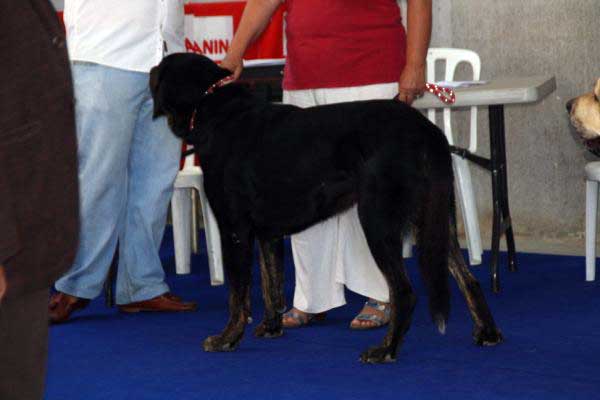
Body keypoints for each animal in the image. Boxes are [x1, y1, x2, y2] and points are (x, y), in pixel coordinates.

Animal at [150, 52, 502, 362]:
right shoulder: (267, 233)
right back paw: (487, 332)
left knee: (404, 291)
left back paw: (385, 350)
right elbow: (271, 284)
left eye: (160, 69)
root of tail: (427, 132)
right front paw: (271, 327)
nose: (150, 69)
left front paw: (227, 338)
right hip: (432, 219)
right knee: (468, 279)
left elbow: (238, 293)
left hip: (377, 220)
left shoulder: (234, 229)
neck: (211, 105)